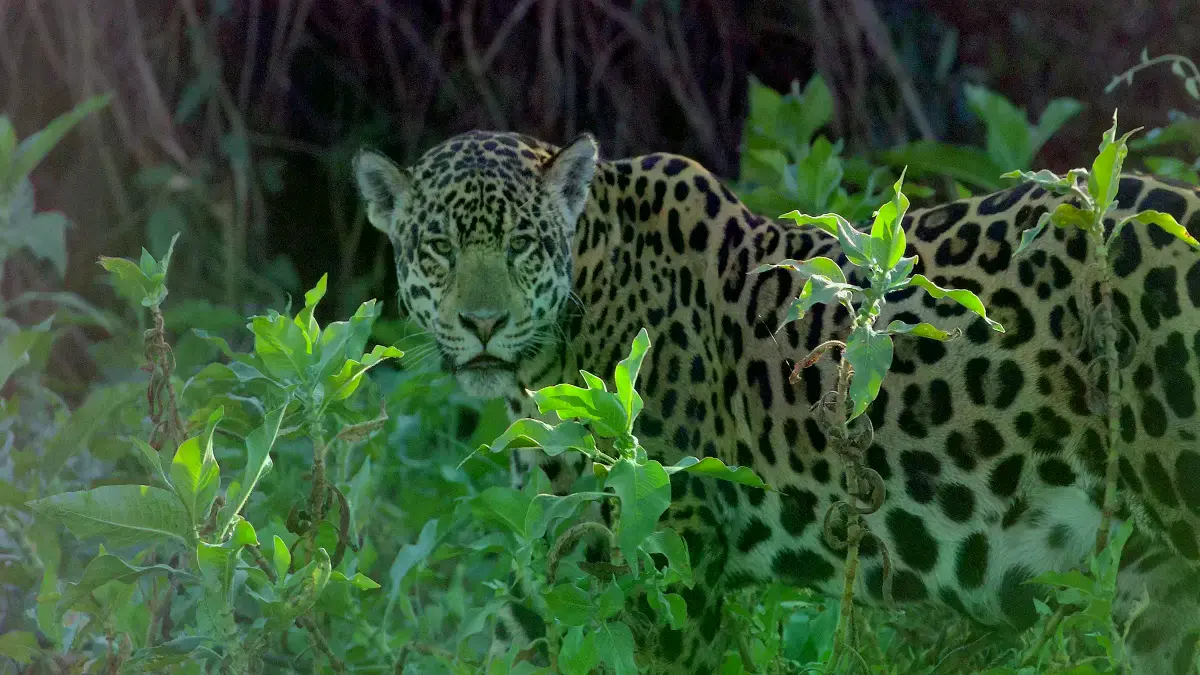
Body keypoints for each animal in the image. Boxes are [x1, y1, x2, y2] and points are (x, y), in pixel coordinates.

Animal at [353, 128, 1200, 674]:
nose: (482, 323)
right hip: (1154, 587)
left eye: (522, 247)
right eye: (439, 248)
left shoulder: (670, 556)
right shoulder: (560, 549)